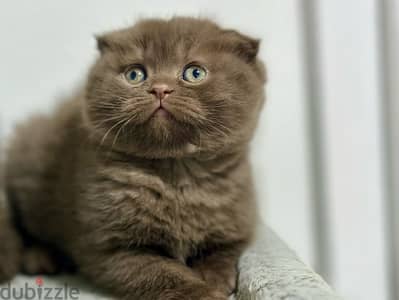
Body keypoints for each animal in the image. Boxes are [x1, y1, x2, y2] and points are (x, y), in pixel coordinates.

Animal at [2, 17, 268, 300]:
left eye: (195, 73)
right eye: (135, 74)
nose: (160, 89)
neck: (176, 174)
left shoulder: (237, 225)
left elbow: (223, 254)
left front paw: (214, 279)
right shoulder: (111, 249)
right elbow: (163, 274)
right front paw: (204, 292)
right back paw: (41, 258)